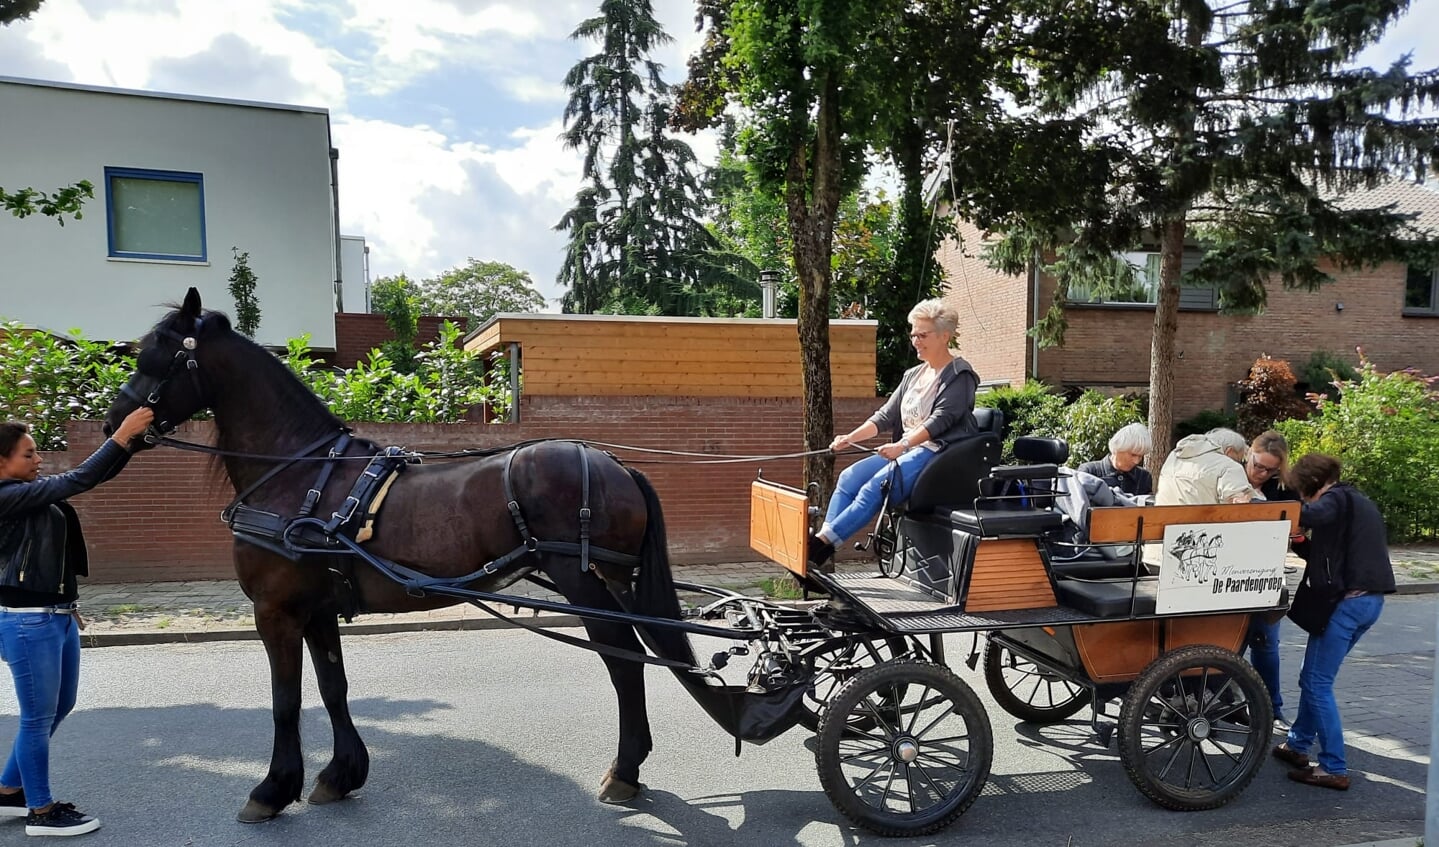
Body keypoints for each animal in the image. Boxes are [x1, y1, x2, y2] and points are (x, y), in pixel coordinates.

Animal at [101, 289, 702, 816]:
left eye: (157, 356)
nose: (114, 423)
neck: (299, 474)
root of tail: (614, 464)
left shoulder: (275, 611)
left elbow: (285, 700)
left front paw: (272, 790)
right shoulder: (317, 609)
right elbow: (333, 687)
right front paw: (339, 775)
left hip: (583, 581)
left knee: (621, 659)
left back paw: (624, 771)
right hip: (610, 579)